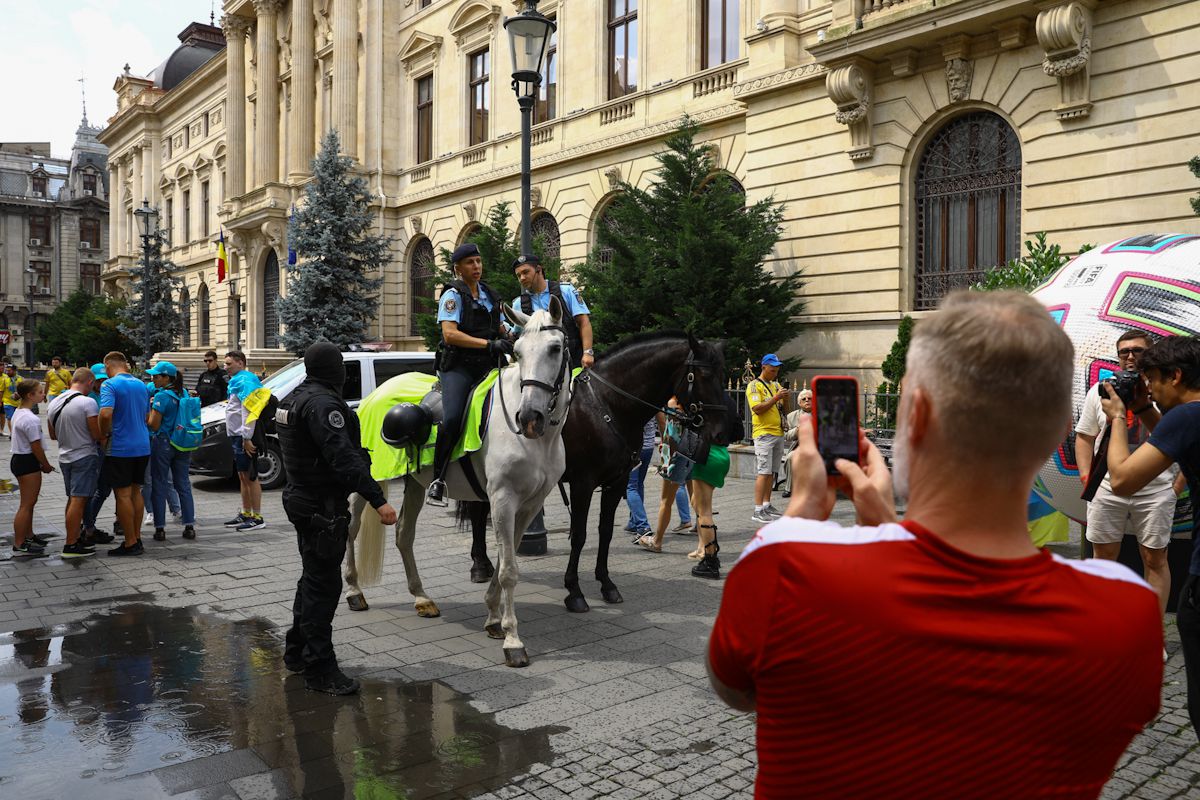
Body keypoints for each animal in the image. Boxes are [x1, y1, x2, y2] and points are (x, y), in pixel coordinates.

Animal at [348, 299, 571, 671]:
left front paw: (494, 619)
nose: (529, 418)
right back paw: (353, 592)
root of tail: (374, 395)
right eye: (518, 352)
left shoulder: (529, 505)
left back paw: (421, 598)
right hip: (367, 479)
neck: (537, 441)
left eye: (555, 349)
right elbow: (509, 570)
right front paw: (513, 640)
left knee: (403, 534)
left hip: (416, 483)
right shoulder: (502, 500)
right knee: (350, 530)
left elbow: (505, 560)